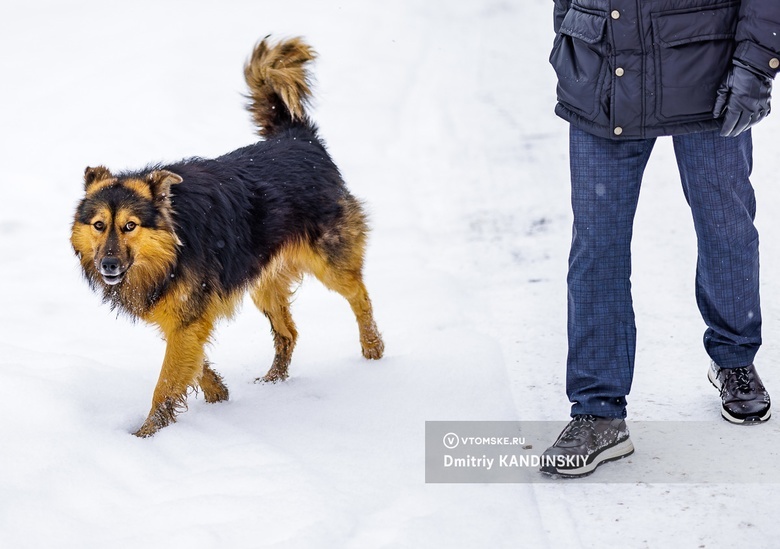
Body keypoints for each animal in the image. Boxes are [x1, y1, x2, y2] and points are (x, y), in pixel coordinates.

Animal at [69, 36, 384, 436]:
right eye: (98, 225)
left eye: (130, 226)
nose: (108, 264)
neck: (172, 249)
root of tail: (300, 138)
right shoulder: (184, 316)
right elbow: (194, 361)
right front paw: (218, 392)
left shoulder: (187, 316)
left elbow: (166, 382)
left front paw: (146, 435)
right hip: (264, 281)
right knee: (288, 333)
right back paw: (273, 381)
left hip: (330, 259)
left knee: (359, 295)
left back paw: (373, 347)